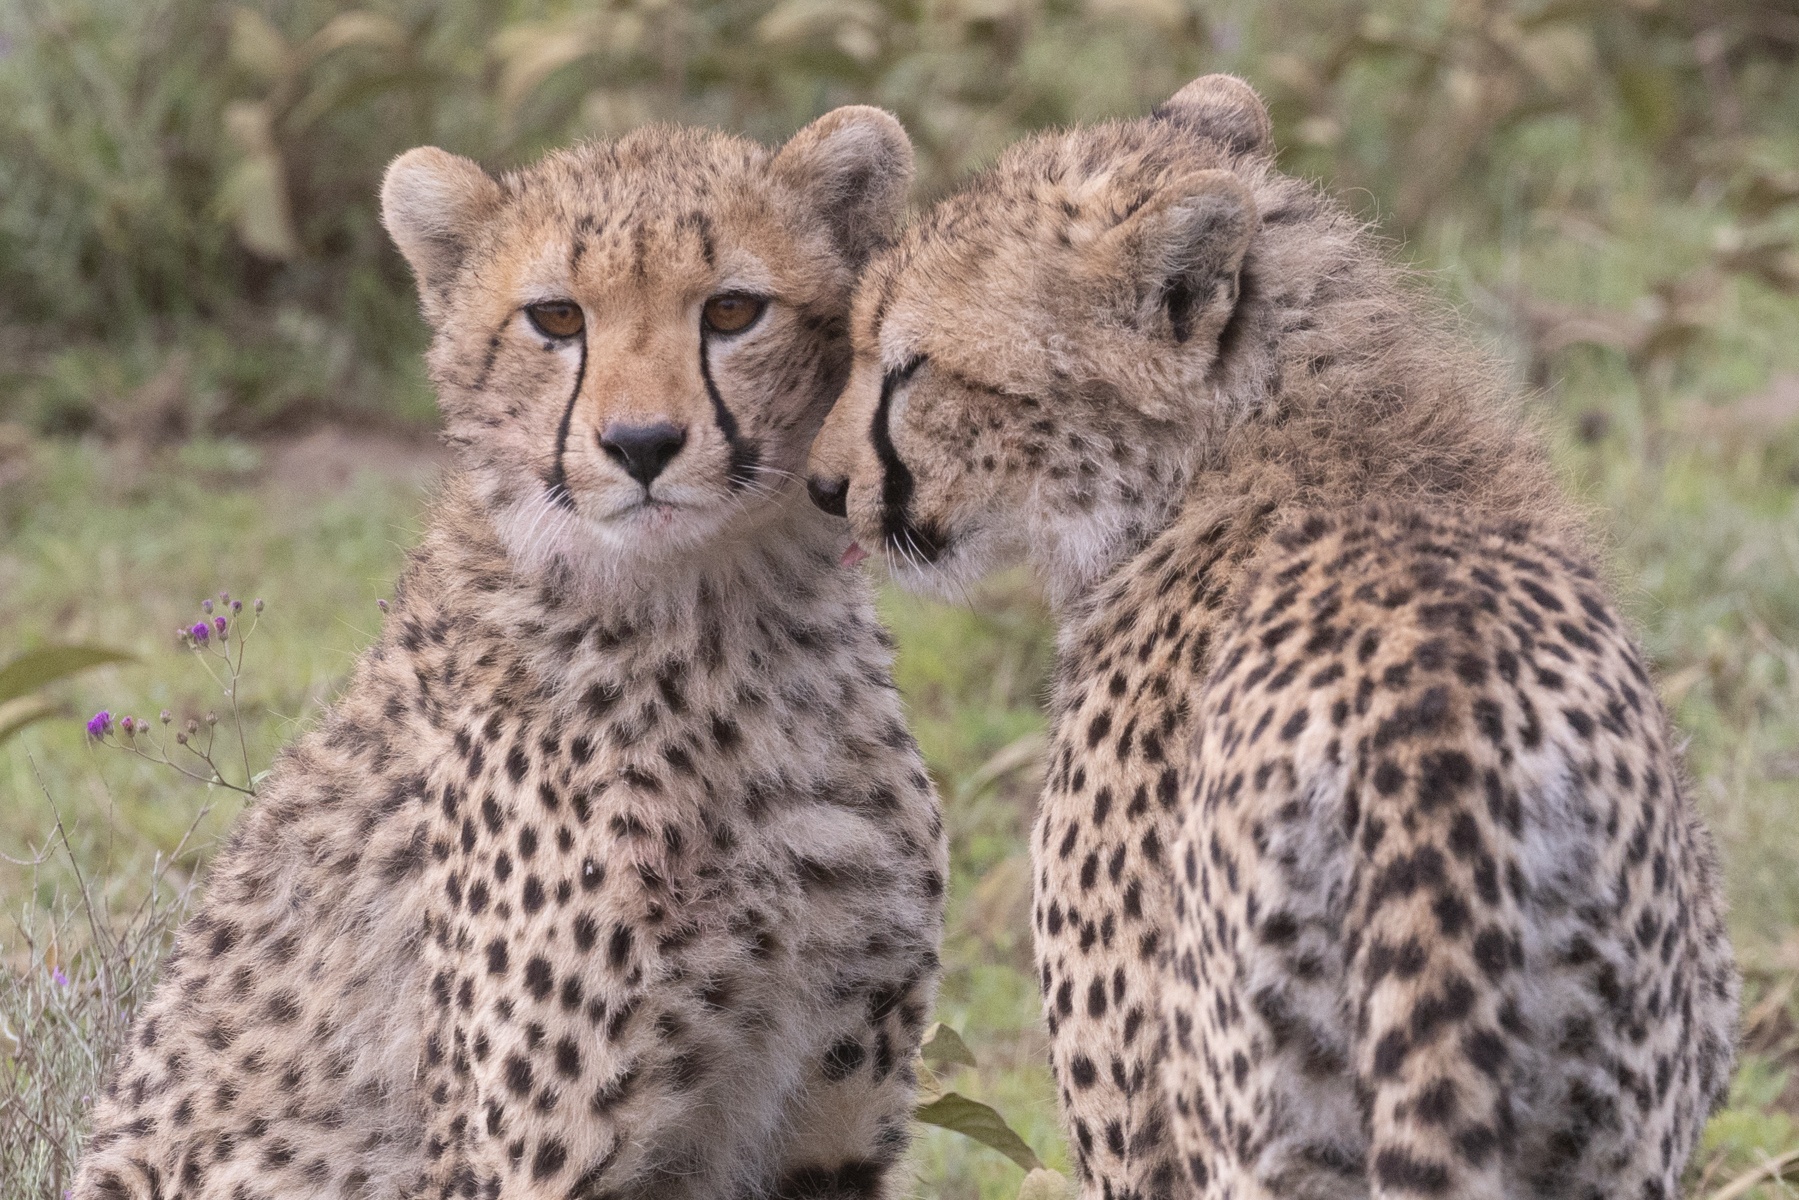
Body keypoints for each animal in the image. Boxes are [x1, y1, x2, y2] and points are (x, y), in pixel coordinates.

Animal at [73, 105, 942, 1200]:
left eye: (735, 310)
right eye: (557, 320)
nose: (642, 444)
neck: (718, 621)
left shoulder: (827, 1127)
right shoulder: (531, 1156)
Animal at [809, 77, 1734, 1200]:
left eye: (911, 368)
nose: (822, 487)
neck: (1246, 448)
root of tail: (1441, 733)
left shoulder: (1138, 1142)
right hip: (1603, 1137)